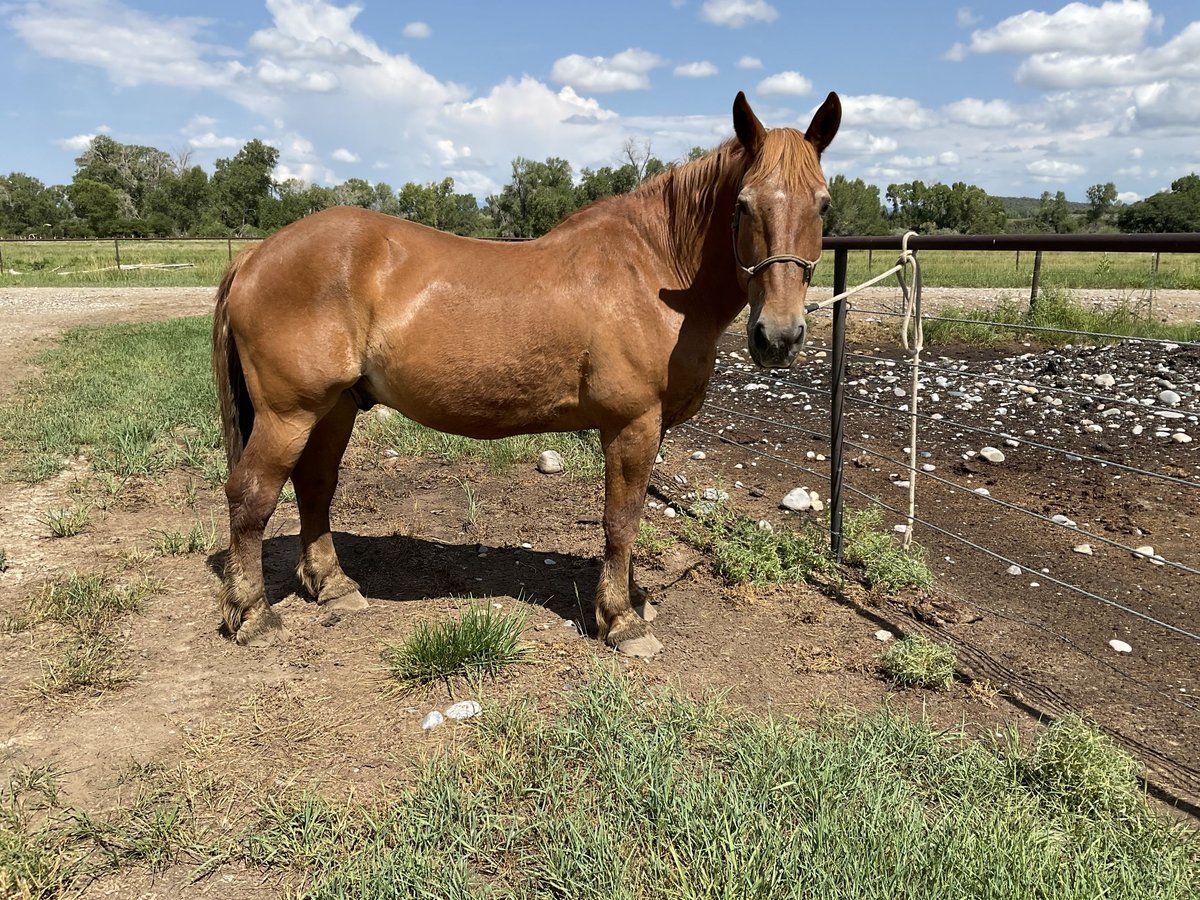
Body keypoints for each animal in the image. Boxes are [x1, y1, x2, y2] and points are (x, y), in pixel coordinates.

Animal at [211, 90, 840, 657]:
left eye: (823, 205)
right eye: (744, 204)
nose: (779, 337)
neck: (653, 270)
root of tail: (257, 255)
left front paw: (632, 602)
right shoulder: (632, 425)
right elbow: (621, 521)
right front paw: (620, 620)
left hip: (335, 407)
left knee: (315, 486)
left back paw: (333, 586)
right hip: (289, 414)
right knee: (251, 495)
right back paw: (253, 615)